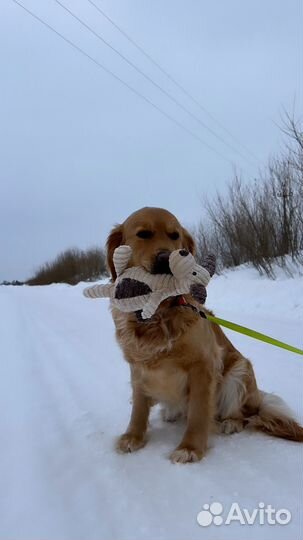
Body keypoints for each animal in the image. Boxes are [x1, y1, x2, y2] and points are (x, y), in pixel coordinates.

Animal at [107, 207, 303, 464]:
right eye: (143, 234)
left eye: (174, 236)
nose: (165, 259)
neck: (158, 314)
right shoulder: (138, 366)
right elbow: (138, 406)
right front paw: (133, 436)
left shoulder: (203, 365)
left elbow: (199, 411)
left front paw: (190, 447)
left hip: (239, 370)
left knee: (245, 415)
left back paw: (231, 422)